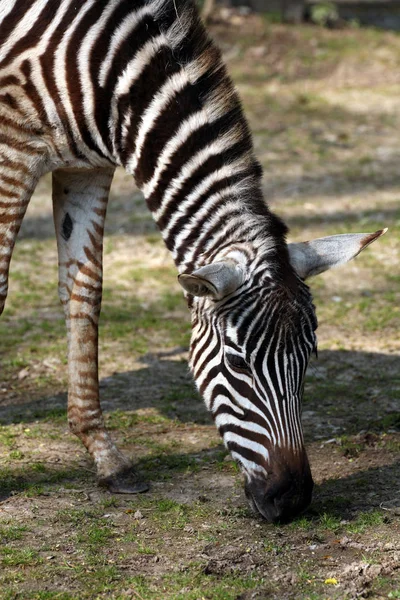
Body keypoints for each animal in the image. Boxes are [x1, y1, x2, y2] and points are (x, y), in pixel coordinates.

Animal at [0, 0, 384, 524]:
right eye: (237, 362)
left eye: (310, 355)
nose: (292, 500)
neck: (109, 60)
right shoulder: (12, 147)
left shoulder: (87, 165)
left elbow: (84, 291)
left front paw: (105, 455)